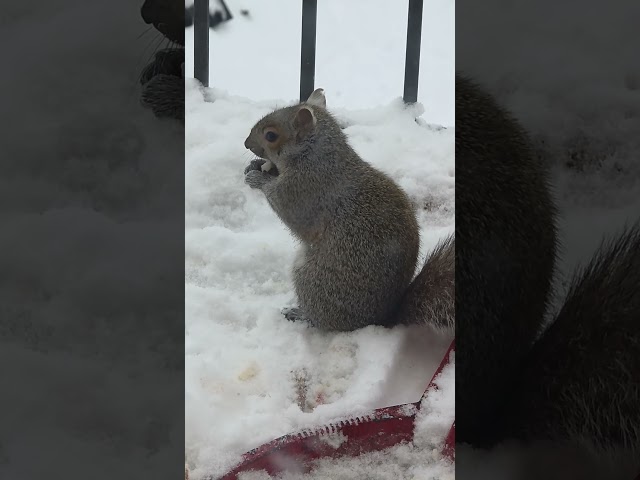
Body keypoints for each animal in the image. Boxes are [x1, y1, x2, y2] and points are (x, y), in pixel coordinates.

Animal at [243, 88, 454, 331]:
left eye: (271, 136)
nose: (246, 143)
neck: (314, 157)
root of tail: (380, 320)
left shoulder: (304, 191)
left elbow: (289, 211)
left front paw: (257, 178)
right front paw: (256, 166)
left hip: (312, 279)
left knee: (322, 321)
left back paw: (299, 314)